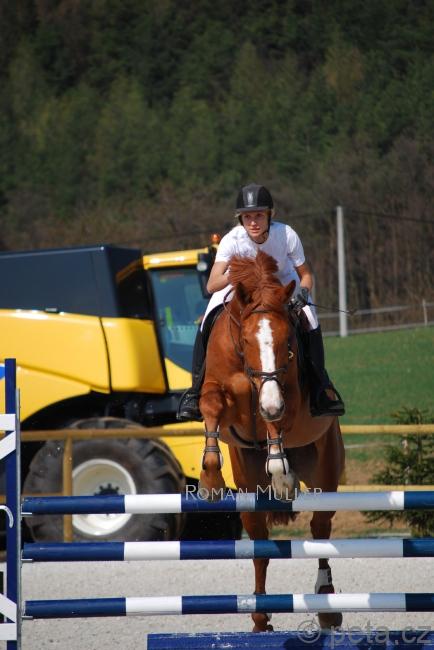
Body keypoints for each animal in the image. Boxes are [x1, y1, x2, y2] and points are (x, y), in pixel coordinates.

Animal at [198, 250, 345, 633]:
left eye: (287, 343)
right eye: (248, 340)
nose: (269, 402)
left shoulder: (288, 397)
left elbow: (275, 420)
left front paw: (280, 474)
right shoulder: (218, 392)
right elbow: (213, 407)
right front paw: (210, 482)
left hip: (325, 470)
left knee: (320, 530)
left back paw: (328, 607)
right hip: (248, 490)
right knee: (259, 544)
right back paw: (260, 616)